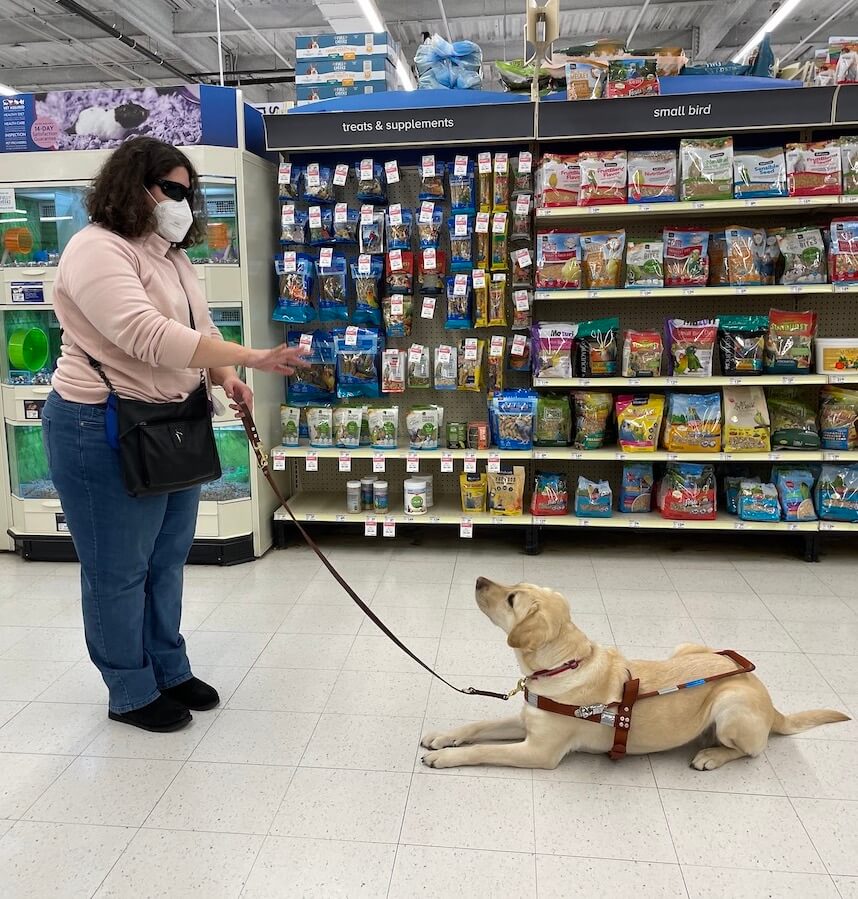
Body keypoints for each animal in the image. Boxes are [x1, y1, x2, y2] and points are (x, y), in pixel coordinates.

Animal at [418, 584, 844, 772]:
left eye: (511, 599)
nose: (479, 579)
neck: (563, 665)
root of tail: (771, 703)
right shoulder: (528, 719)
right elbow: (478, 725)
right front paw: (444, 737)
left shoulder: (539, 752)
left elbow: (483, 749)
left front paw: (446, 757)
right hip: (687, 645)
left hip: (730, 706)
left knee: (751, 750)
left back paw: (710, 755)